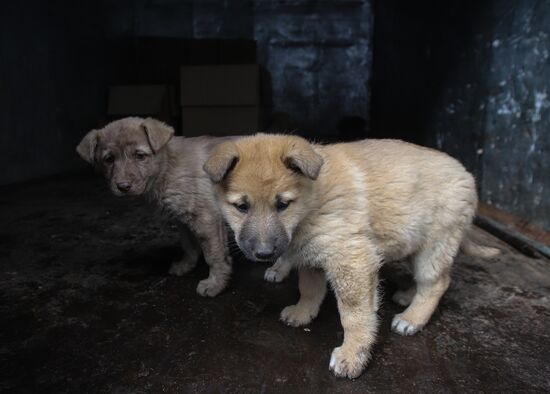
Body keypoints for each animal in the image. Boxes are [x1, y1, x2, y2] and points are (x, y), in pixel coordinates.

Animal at [76, 116, 237, 296]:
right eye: (109, 159)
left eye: (140, 156)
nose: (123, 186)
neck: (168, 166)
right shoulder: (182, 220)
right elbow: (189, 245)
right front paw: (185, 266)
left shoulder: (207, 217)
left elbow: (214, 254)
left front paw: (215, 284)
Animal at [206, 135, 500, 378]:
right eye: (241, 207)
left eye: (282, 204)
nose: (265, 253)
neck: (312, 201)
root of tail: (467, 175)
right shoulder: (311, 256)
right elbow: (309, 289)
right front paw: (303, 313)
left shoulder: (352, 259)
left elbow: (354, 315)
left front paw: (352, 355)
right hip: (412, 240)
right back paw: (408, 296)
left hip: (435, 244)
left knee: (436, 282)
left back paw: (412, 318)